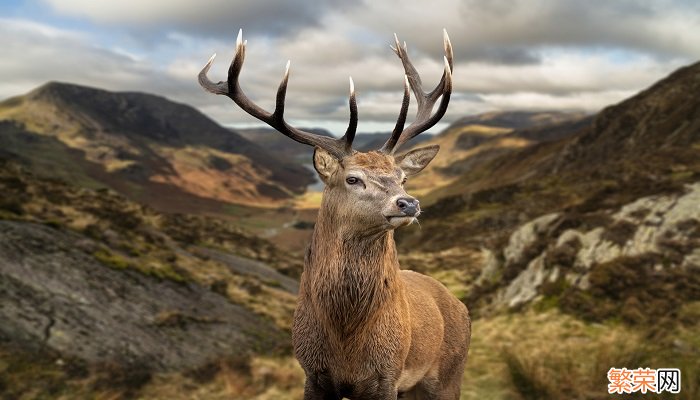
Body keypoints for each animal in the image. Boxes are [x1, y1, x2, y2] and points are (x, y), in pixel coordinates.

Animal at [198, 28, 470, 400]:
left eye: (401, 178)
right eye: (352, 178)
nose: (408, 203)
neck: (345, 340)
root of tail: (460, 305)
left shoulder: (387, 376)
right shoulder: (312, 373)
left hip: (449, 375)